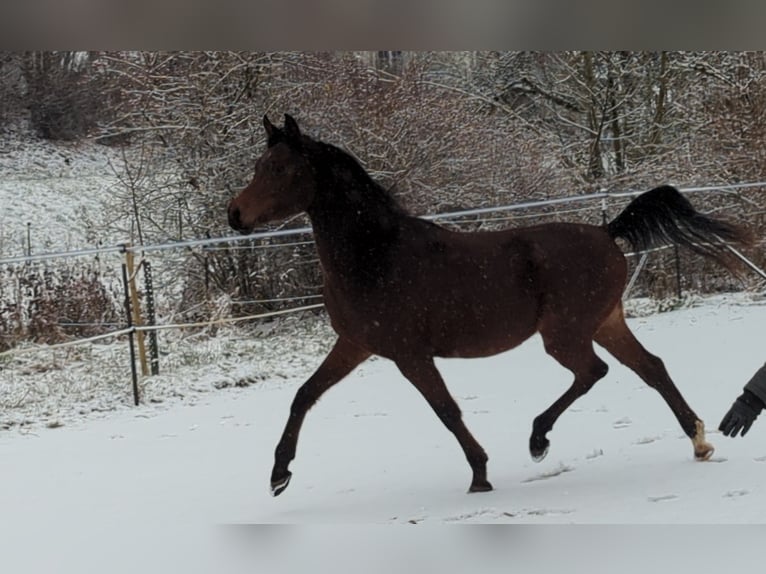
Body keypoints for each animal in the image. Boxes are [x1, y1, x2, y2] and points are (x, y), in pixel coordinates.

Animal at [228, 115, 756, 498]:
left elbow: (445, 410)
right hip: (606, 322)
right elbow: (304, 395)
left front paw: (480, 474)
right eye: (257, 165)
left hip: (565, 334)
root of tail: (608, 232)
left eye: (278, 169)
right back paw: (699, 441)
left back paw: (539, 439)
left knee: (594, 371)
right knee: (651, 367)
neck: (376, 254)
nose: (235, 216)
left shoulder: (408, 354)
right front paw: (278, 476)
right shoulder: (355, 344)